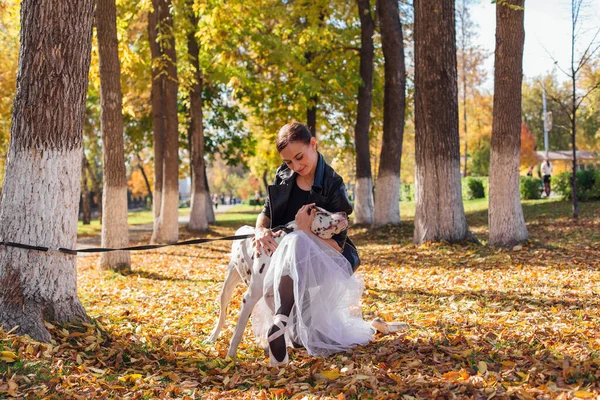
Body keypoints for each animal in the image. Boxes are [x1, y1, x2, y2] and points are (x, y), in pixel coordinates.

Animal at [205, 206, 346, 356]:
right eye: (321, 212)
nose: (345, 213)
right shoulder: (249, 298)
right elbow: (238, 331)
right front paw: (231, 357)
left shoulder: (275, 296)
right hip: (226, 290)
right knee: (222, 315)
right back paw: (212, 337)